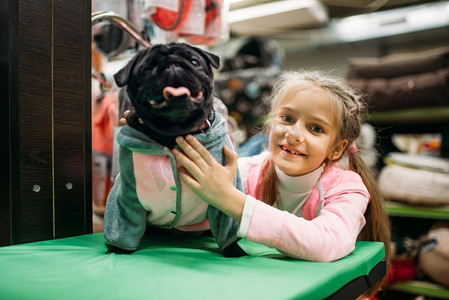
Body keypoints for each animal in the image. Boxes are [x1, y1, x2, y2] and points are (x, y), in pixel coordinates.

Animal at [103, 42, 245, 258]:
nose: (172, 65)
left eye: (194, 61)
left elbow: (227, 226)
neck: (172, 134)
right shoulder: (127, 197)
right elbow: (124, 225)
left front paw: (235, 251)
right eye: (147, 70)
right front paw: (118, 250)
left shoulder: (223, 197)